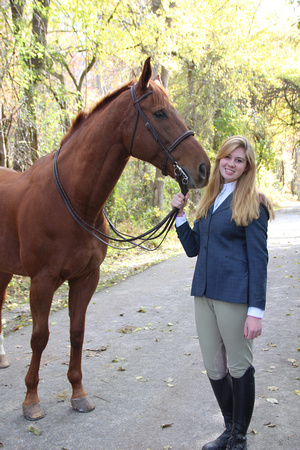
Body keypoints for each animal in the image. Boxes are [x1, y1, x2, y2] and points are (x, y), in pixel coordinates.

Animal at [0, 58, 210, 420]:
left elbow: (77, 333)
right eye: (159, 113)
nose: (204, 167)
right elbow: (39, 337)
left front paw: (78, 393)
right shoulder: (41, 282)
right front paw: (31, 400)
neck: (73, 200)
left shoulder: (86, 277)